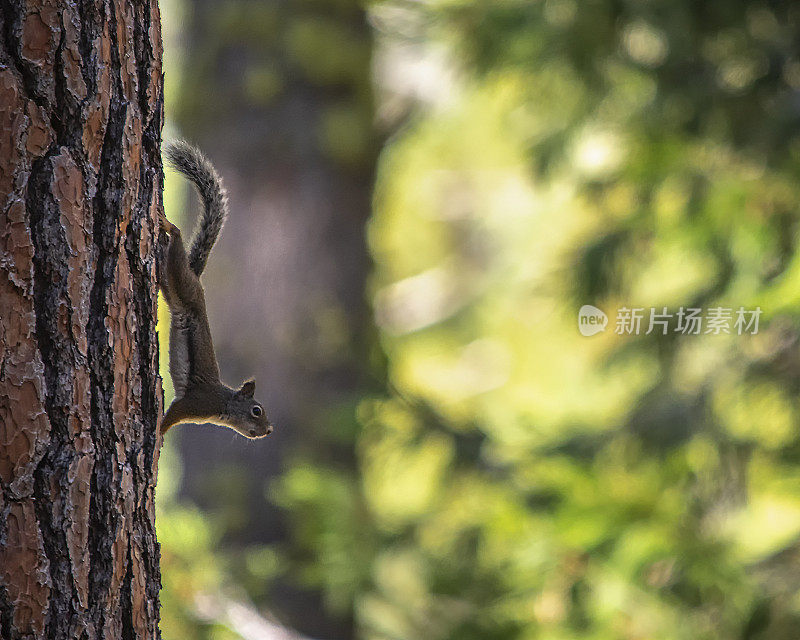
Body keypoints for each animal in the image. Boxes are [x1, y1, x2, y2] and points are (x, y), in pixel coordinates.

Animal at [158, 140, 274, 440]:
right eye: (256, 410)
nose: (268, 430)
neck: (222, 406)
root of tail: (197, 281)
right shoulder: (192, 403)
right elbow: (170, 417)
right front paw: (158, 434)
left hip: (174, 288)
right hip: (184, 285)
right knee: (177, 238)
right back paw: (167, 226)